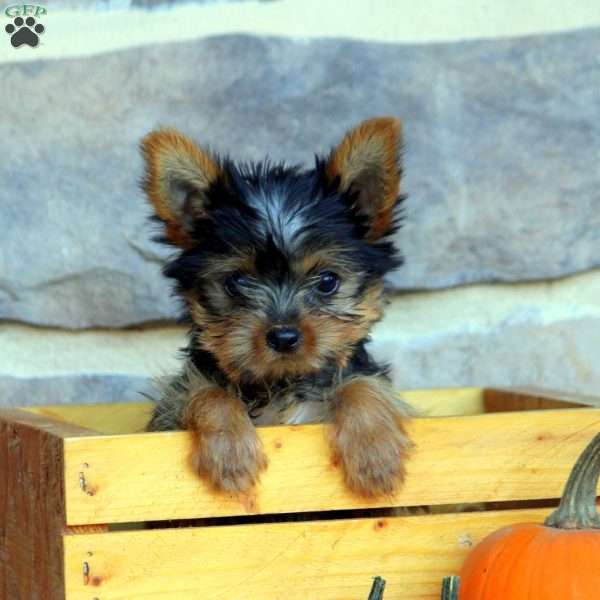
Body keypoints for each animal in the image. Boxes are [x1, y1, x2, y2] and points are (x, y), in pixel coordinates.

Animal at [142, 116, 412, 496]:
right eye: (237, 282)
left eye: (327, 281)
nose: (284, 337)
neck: (282, 384)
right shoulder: (168, 412)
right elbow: (205, 391)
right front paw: (229, 454)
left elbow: (360, 384)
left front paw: (375, 453)